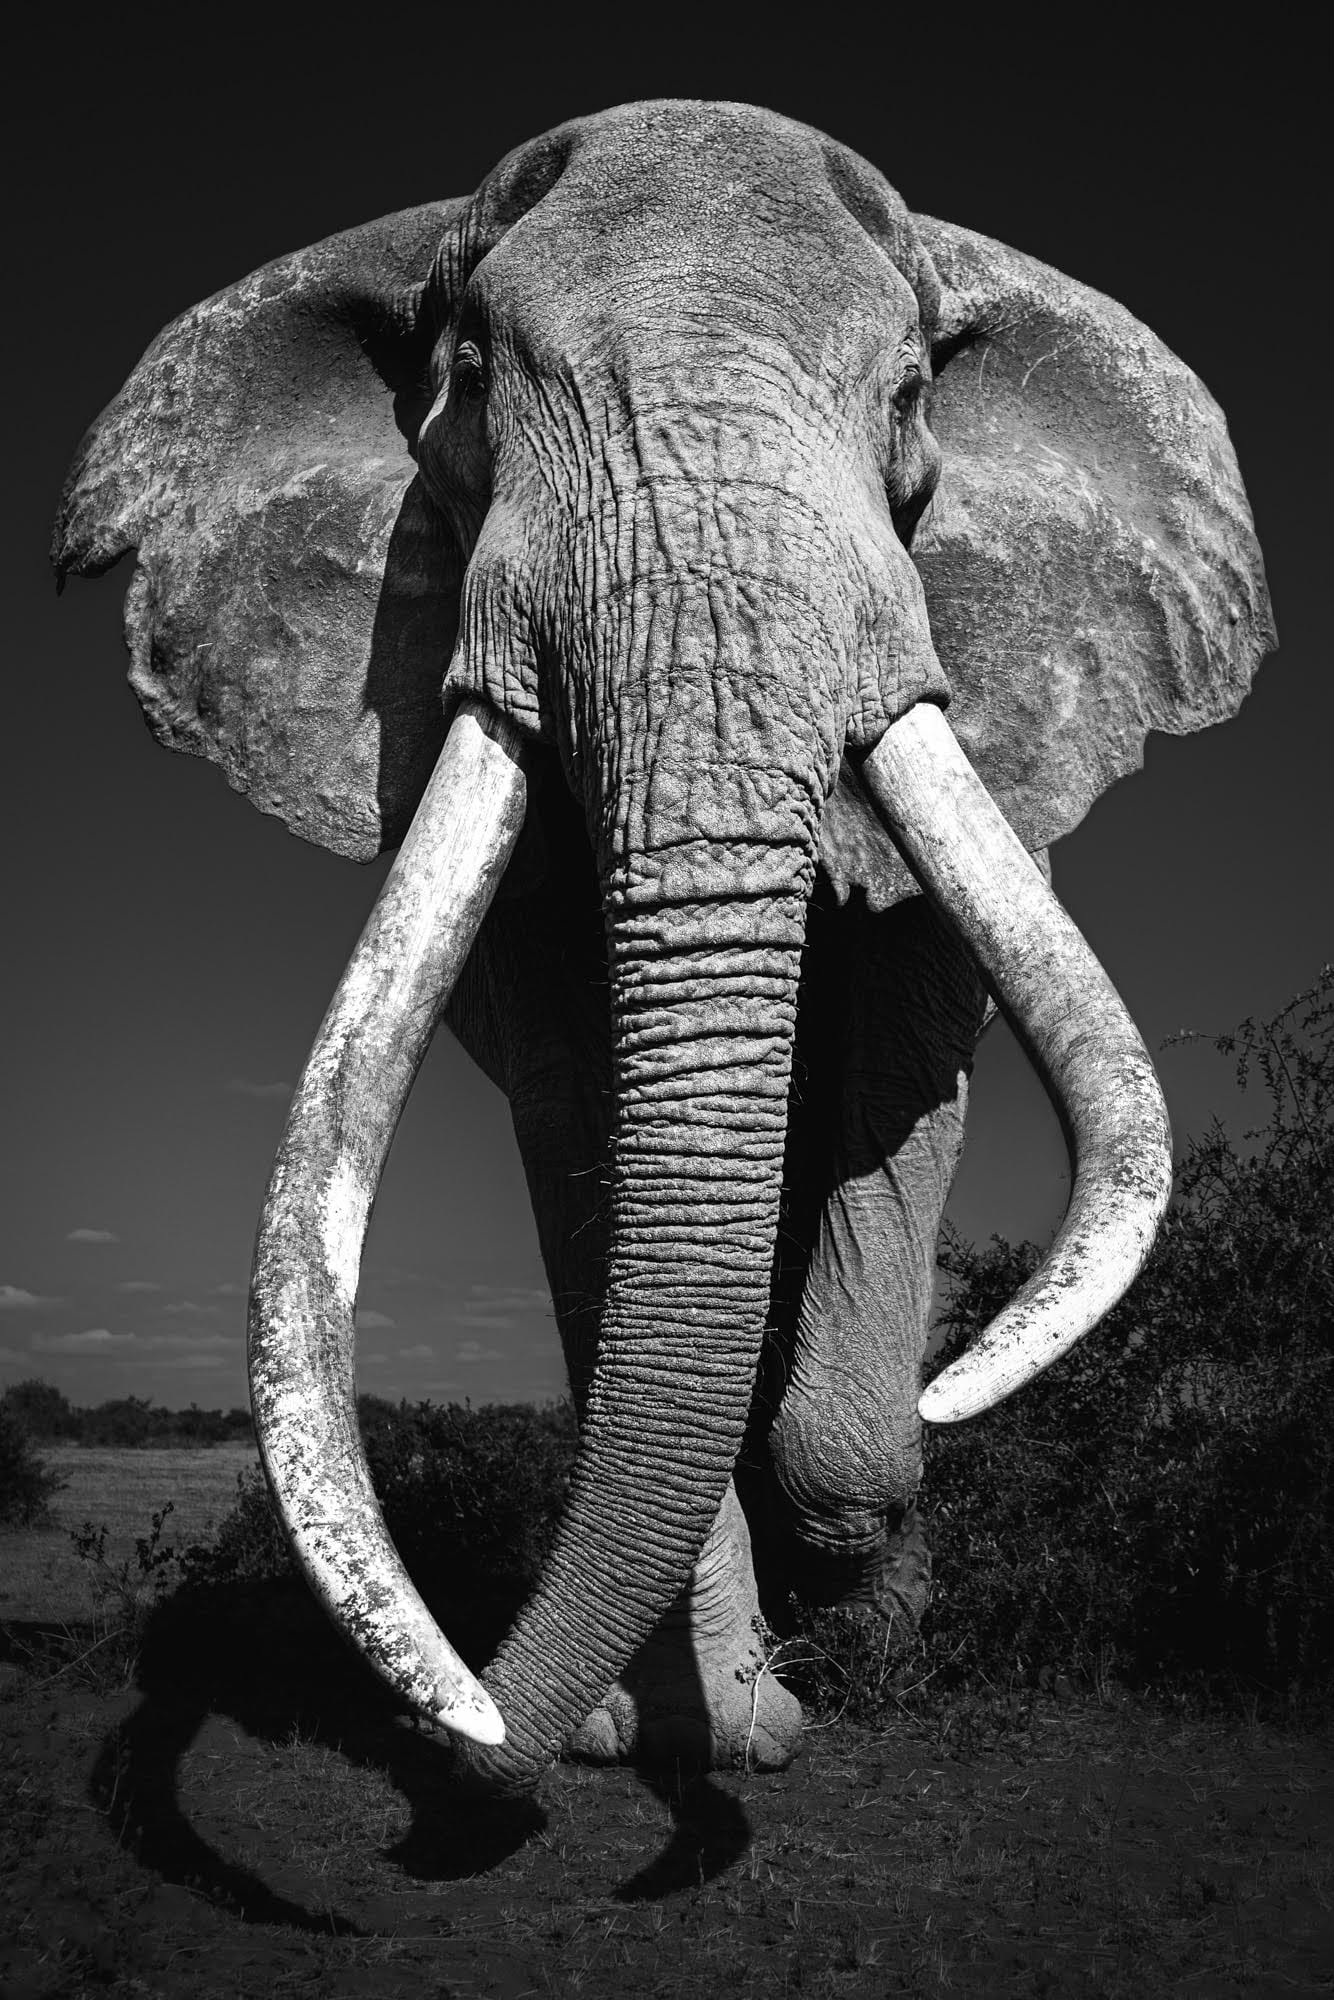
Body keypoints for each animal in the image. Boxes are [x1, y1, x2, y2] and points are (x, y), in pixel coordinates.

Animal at [53, 99, 1272, 1792]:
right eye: (473, 378)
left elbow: (898, 1072)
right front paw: (706, 1729)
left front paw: (869, 1647)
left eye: (907, 398)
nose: (462, 1728)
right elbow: (587, 1130)